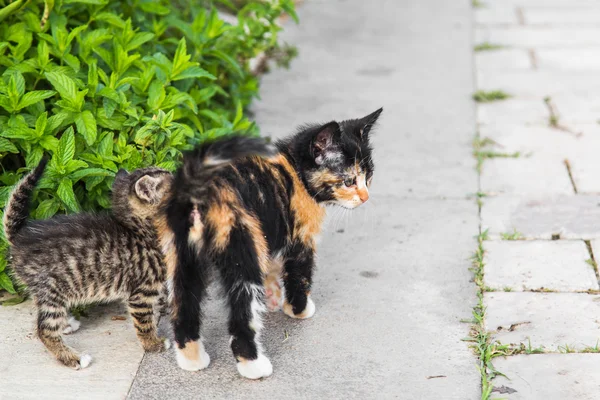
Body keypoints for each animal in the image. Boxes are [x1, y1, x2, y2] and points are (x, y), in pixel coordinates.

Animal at [4, 159, 172, 368]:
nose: (176, 172)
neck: (141, 231)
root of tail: (19, 239)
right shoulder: (141, 292)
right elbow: (144, 323)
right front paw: (153, 344)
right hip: (53, 288)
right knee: (45, 329)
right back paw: (72, 357)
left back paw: (66, 324)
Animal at [162, 108, 382, 378]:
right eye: (349, 181)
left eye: (368, 176)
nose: (365, 197)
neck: (296, 170)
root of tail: (198, 189)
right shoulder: (300, 237)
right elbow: (300, 275)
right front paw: (298, 309)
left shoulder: (268, 235)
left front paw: (274, 296)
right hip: (242, 246)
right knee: (242, 313)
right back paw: (254, 365)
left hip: (183, 255)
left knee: (184, 302)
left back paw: (192, 359)